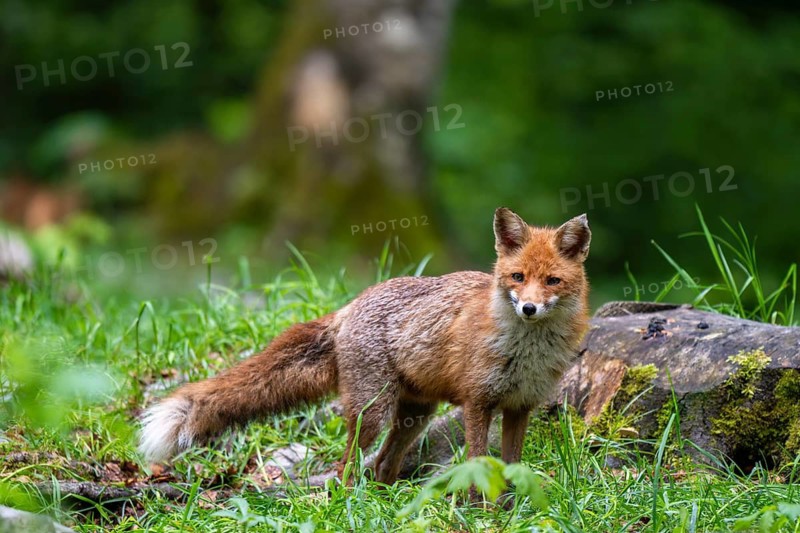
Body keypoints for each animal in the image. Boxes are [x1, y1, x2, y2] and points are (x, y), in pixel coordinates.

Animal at [139, 207, 591, 485]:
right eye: (517, 277)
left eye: (552, 281)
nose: (529, 308)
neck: (527, 352)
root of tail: (350, 304)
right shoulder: (478, 403)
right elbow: (478, 467)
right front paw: (480, 512)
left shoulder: (519, 406)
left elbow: (512, 468)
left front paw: (509, 513)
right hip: (373, 413)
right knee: (348, 467)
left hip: (415, 415)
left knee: (383, 466)